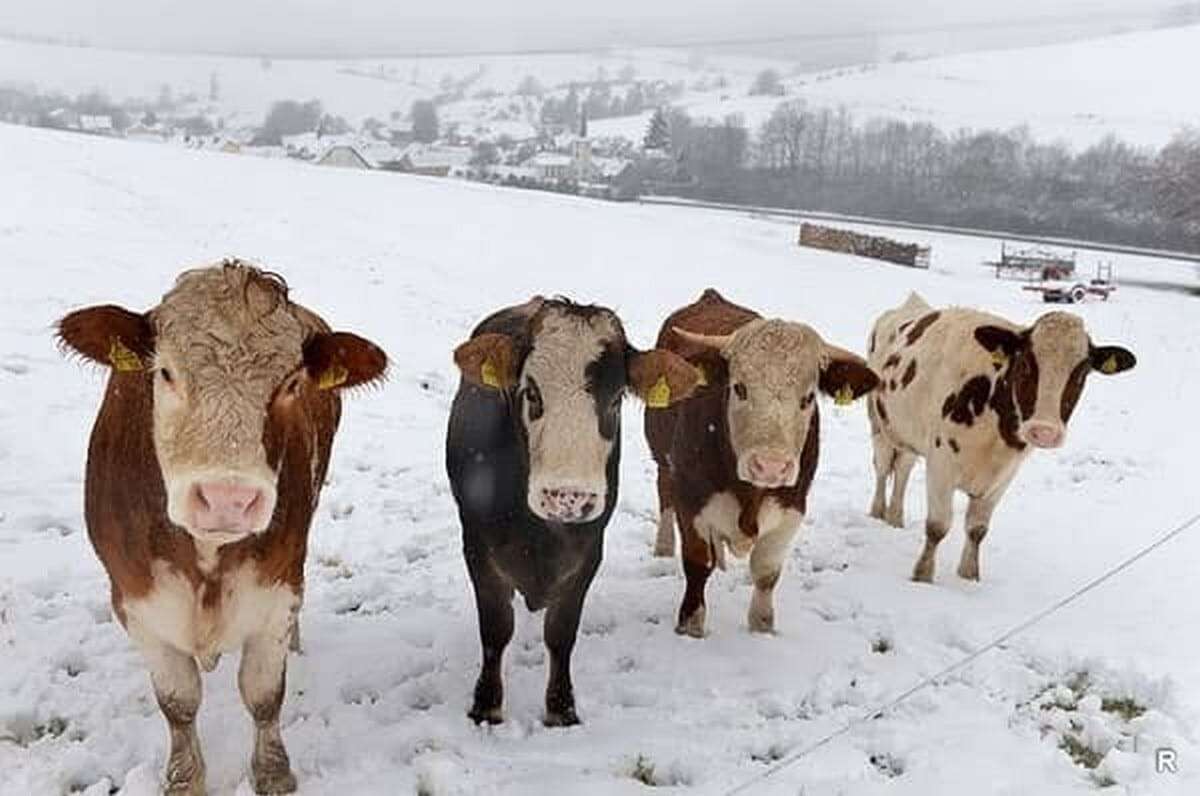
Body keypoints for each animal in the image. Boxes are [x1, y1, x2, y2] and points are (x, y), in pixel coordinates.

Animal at [57, 261, 387, 795]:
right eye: (165, 372)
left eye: (291, 384)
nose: (227, 498)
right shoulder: (136, 601)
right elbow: (178, 701)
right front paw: (185, 777)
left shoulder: (276, 592)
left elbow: (263, 694)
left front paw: (273, 773)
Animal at [446, 296, 700, 726]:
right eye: (530, 393)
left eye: (615, 399)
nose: (567, 496)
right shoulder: (477, 547)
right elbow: (496, 629)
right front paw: (487, 705)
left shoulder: (588, 552)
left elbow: (561, 633)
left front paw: (561, 708)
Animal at [645, 289, 879, 637]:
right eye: (739, 388)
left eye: (808, 398)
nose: (770, 466)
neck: (749, 493)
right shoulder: (692, 499)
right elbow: (698, 564)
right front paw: (690, 624)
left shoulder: (792, 508)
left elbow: (767, 572)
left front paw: (762, 626)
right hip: (661, 456)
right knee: (664, 493)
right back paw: (663, 546)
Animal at [867, 292, 1136, 583]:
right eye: (1026, 362)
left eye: (1082, 371)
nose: (1045, 431)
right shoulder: (941, 464)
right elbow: (938, 526)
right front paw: (922, 577)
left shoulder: (1004, 475)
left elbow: (977, 530)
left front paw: (969, 577)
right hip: (879, 424)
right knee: (882, 469)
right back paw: (877, 512)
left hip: (907, 432)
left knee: (903, 469)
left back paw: (895, 518)